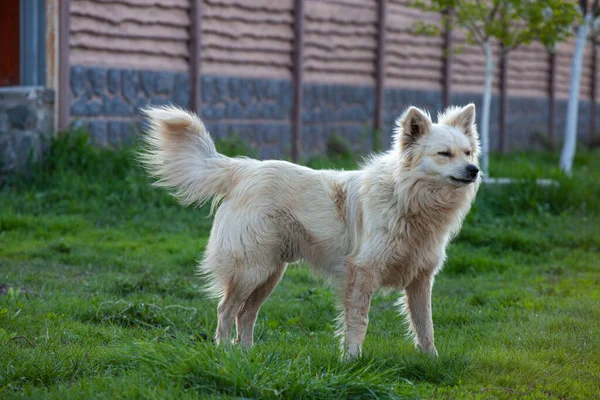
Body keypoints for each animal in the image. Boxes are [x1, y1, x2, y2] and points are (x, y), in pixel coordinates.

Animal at [139, 104, 478, 360]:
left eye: (468, 152)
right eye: (444, 154)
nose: (474, 170)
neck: (408, 197)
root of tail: (244, 170)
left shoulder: (421, 279)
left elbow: (425, 325)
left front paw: (431, 360)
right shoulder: (363, 273)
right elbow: (359, 320)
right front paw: (352, 359)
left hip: (270, 274)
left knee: (245, 314)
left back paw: (247, 355)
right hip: (251, 270)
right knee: (226, 310)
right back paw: (224, 353)